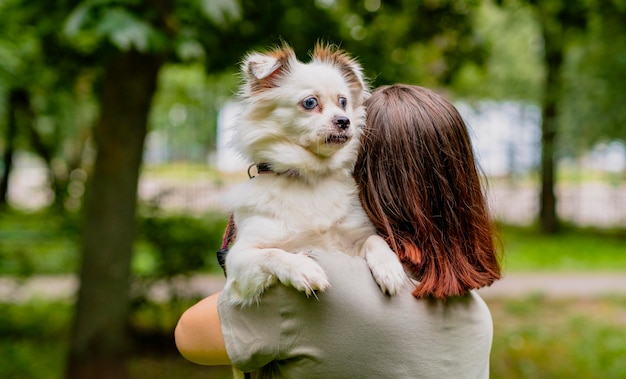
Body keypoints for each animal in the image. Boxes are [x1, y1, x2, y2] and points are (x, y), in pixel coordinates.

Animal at [223, 43, 404, 306]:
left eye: (343, 102)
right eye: (310, 103)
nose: (344, 120)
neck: (312, 176)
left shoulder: (355, 241)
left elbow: (375, 239)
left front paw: (389, 267)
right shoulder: (238, 260)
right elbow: (273, 253)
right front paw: (304, 269)